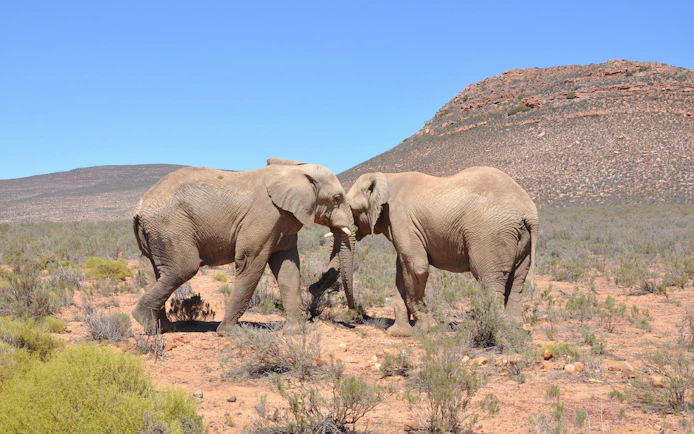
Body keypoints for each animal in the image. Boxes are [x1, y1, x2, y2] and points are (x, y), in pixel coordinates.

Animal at [132, 158, 355, 336]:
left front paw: (296, 331)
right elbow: (251, 264)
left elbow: (288, 269)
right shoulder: (264, 217)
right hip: (170, 227)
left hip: (154, 234)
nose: (315, 289)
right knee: (183, 268)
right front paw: (231, 333)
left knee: (155, 272)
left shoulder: (285, 222)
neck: (295, 169)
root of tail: (140, 206)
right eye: (337, 199)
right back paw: (144, 321)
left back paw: (162, 328)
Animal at [312, 166, 538, 337]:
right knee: (517, 281)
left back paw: (495, 330)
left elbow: (417, 267)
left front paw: (426, 328)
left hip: (489, 235)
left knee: (489, 280)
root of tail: (528, 211)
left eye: (351, 209)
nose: (313, 289)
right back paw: (513, 329)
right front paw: (399, 333)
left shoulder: (401, 218)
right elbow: (401, 270)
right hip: (519, 240)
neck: (387, 177)